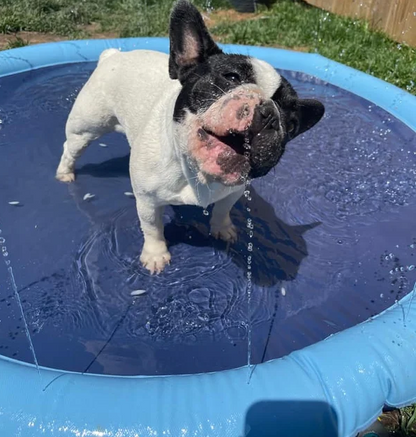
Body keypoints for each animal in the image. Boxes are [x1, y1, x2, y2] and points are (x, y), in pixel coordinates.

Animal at [55, 0, 326, 272]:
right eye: (231, 77)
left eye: (291, 123)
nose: (269, 112)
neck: (196, 171)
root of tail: (114, 55)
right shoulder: (147, 200)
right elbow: (152, 228)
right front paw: (155, 255)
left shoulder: (233, 192)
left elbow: (223, 210)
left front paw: (222, 229)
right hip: (87, 125)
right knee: (71, 147)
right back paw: (65, 173)